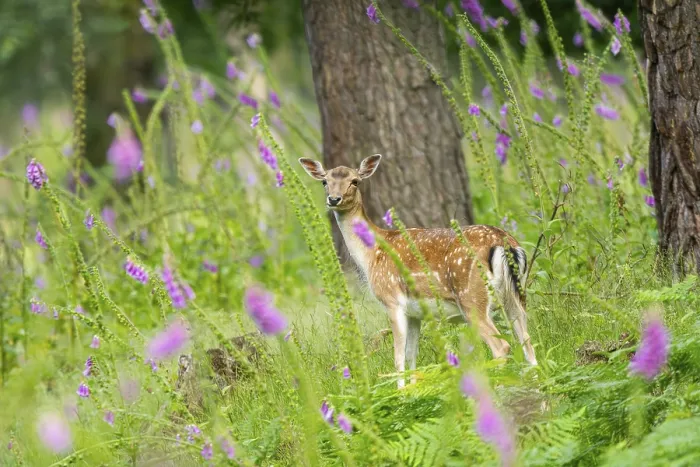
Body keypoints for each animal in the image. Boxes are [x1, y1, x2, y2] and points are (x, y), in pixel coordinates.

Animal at [298, 154, 537, 388]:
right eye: (325, 181)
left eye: (355, 181)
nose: (334, 199)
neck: (371, 255)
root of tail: (504, 242)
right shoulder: (415, 313)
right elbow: (411, 355)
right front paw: (414, 389)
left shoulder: (392, 300)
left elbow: (398, 358)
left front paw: (401, 393)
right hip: (516, 296)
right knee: (528, 342)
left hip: (471, 297)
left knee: (502, 346)